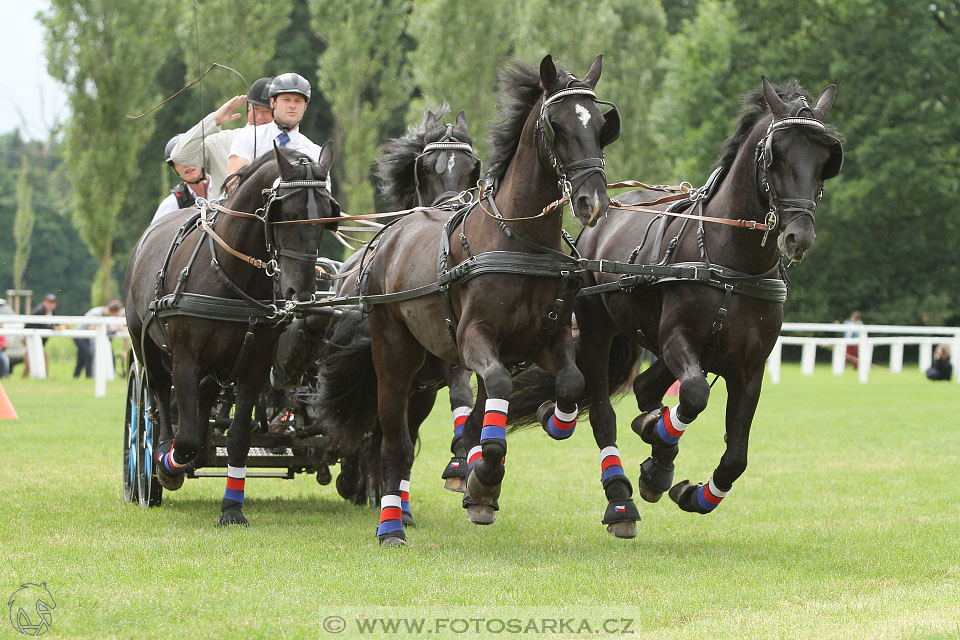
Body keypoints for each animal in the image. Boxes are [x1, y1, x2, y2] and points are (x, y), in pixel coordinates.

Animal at [124, 145, 338, 524]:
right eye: (286, 213)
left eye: (327, 215)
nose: (300, 290)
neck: (230, 274)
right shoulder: (185, 359)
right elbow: (185, 437)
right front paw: (170, 465)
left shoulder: (256, 365)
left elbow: (237, 438)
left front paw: (232, 508)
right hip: (147, 348)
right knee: (159, 398)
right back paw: (161, 455)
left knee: (205, 400)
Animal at [312, 55, 620, 544]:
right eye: (555, 125)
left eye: (601, 125)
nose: (594, 201)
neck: (520, 242)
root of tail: (388, 238)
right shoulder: (472, 339)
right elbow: (495, 392)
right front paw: (485, 479)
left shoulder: (546, 339)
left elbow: (569, 383)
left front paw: (554, 419)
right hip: (394, 354)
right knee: (393, 441)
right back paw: (391, 522)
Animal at [510, 76, 840, 536]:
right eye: (779, 155)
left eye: (825, 158)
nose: (799, 237)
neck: (731, 263)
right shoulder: (677, 339)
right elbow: (696, 396)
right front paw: (660, 446)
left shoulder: (750, 366)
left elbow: (736, 455)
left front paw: (693, 491)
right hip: (599, 330)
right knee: (604, 410)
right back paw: (620, 482)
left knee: (648, 389)